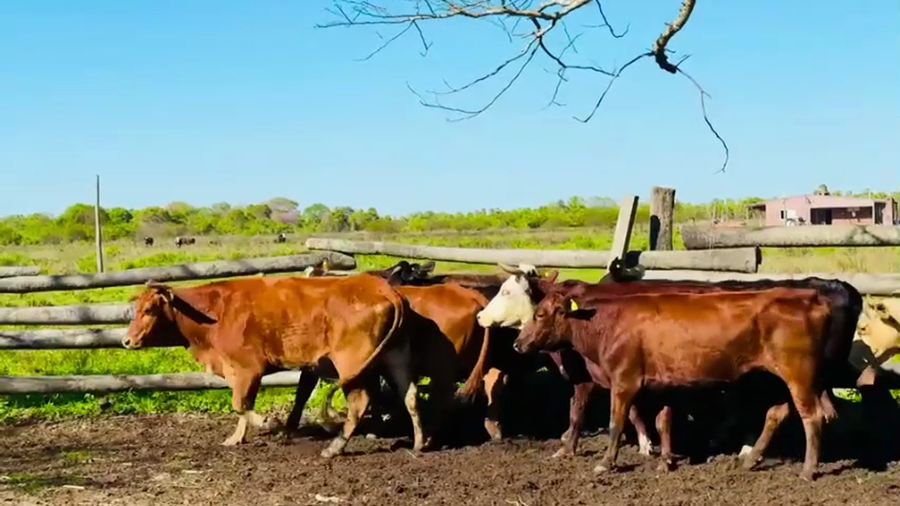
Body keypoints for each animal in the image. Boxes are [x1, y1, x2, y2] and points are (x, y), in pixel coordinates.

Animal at [121, 274, 426, 458]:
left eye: (149, 310)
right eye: (135, 310)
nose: (127, 341)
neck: (215, 312)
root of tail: (382, 288)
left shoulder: (247, 369)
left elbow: (240, 404)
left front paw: (268, 423)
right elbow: (243, 406)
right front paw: (240, 437)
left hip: (351, 365)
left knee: (359, 402)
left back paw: (335, 447)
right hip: (395, 357)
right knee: (410, 395)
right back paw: (420, 442)